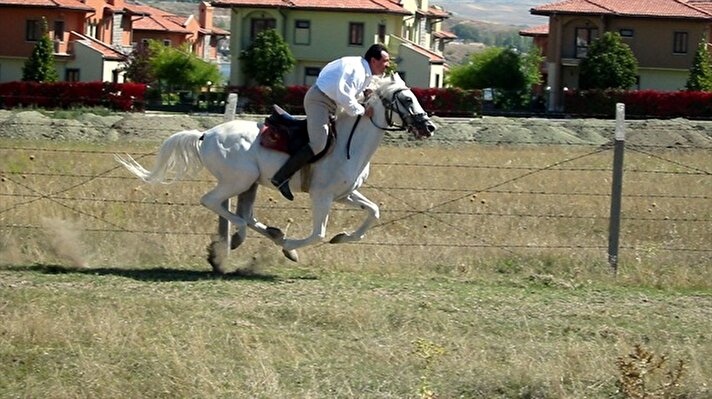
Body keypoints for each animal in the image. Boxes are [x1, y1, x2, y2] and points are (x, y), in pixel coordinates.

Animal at [117, 75, 436, 272]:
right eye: (407, 100)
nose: (429, 127)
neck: (351, 142)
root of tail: (205, 135)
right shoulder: (322, 197)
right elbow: (318, 233)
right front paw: (291, 247)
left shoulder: (345, 194)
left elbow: (374, 211)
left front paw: (342, 237)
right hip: (238, 181)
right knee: (213, 203)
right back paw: (242, 238)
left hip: (250, 185)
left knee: (245, 214)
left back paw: (266, 234)